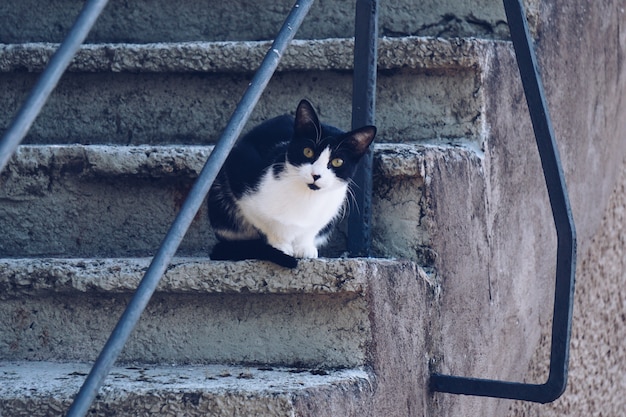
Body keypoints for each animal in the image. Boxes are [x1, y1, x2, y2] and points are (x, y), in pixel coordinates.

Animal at [208, 101, 376, 268]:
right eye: (308, 151)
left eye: (337, 161)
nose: (316, 175)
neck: (306, 196)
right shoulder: (241, 170)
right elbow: (264, 222)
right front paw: (280, 245)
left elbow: (311, 229)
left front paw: (304, 247)